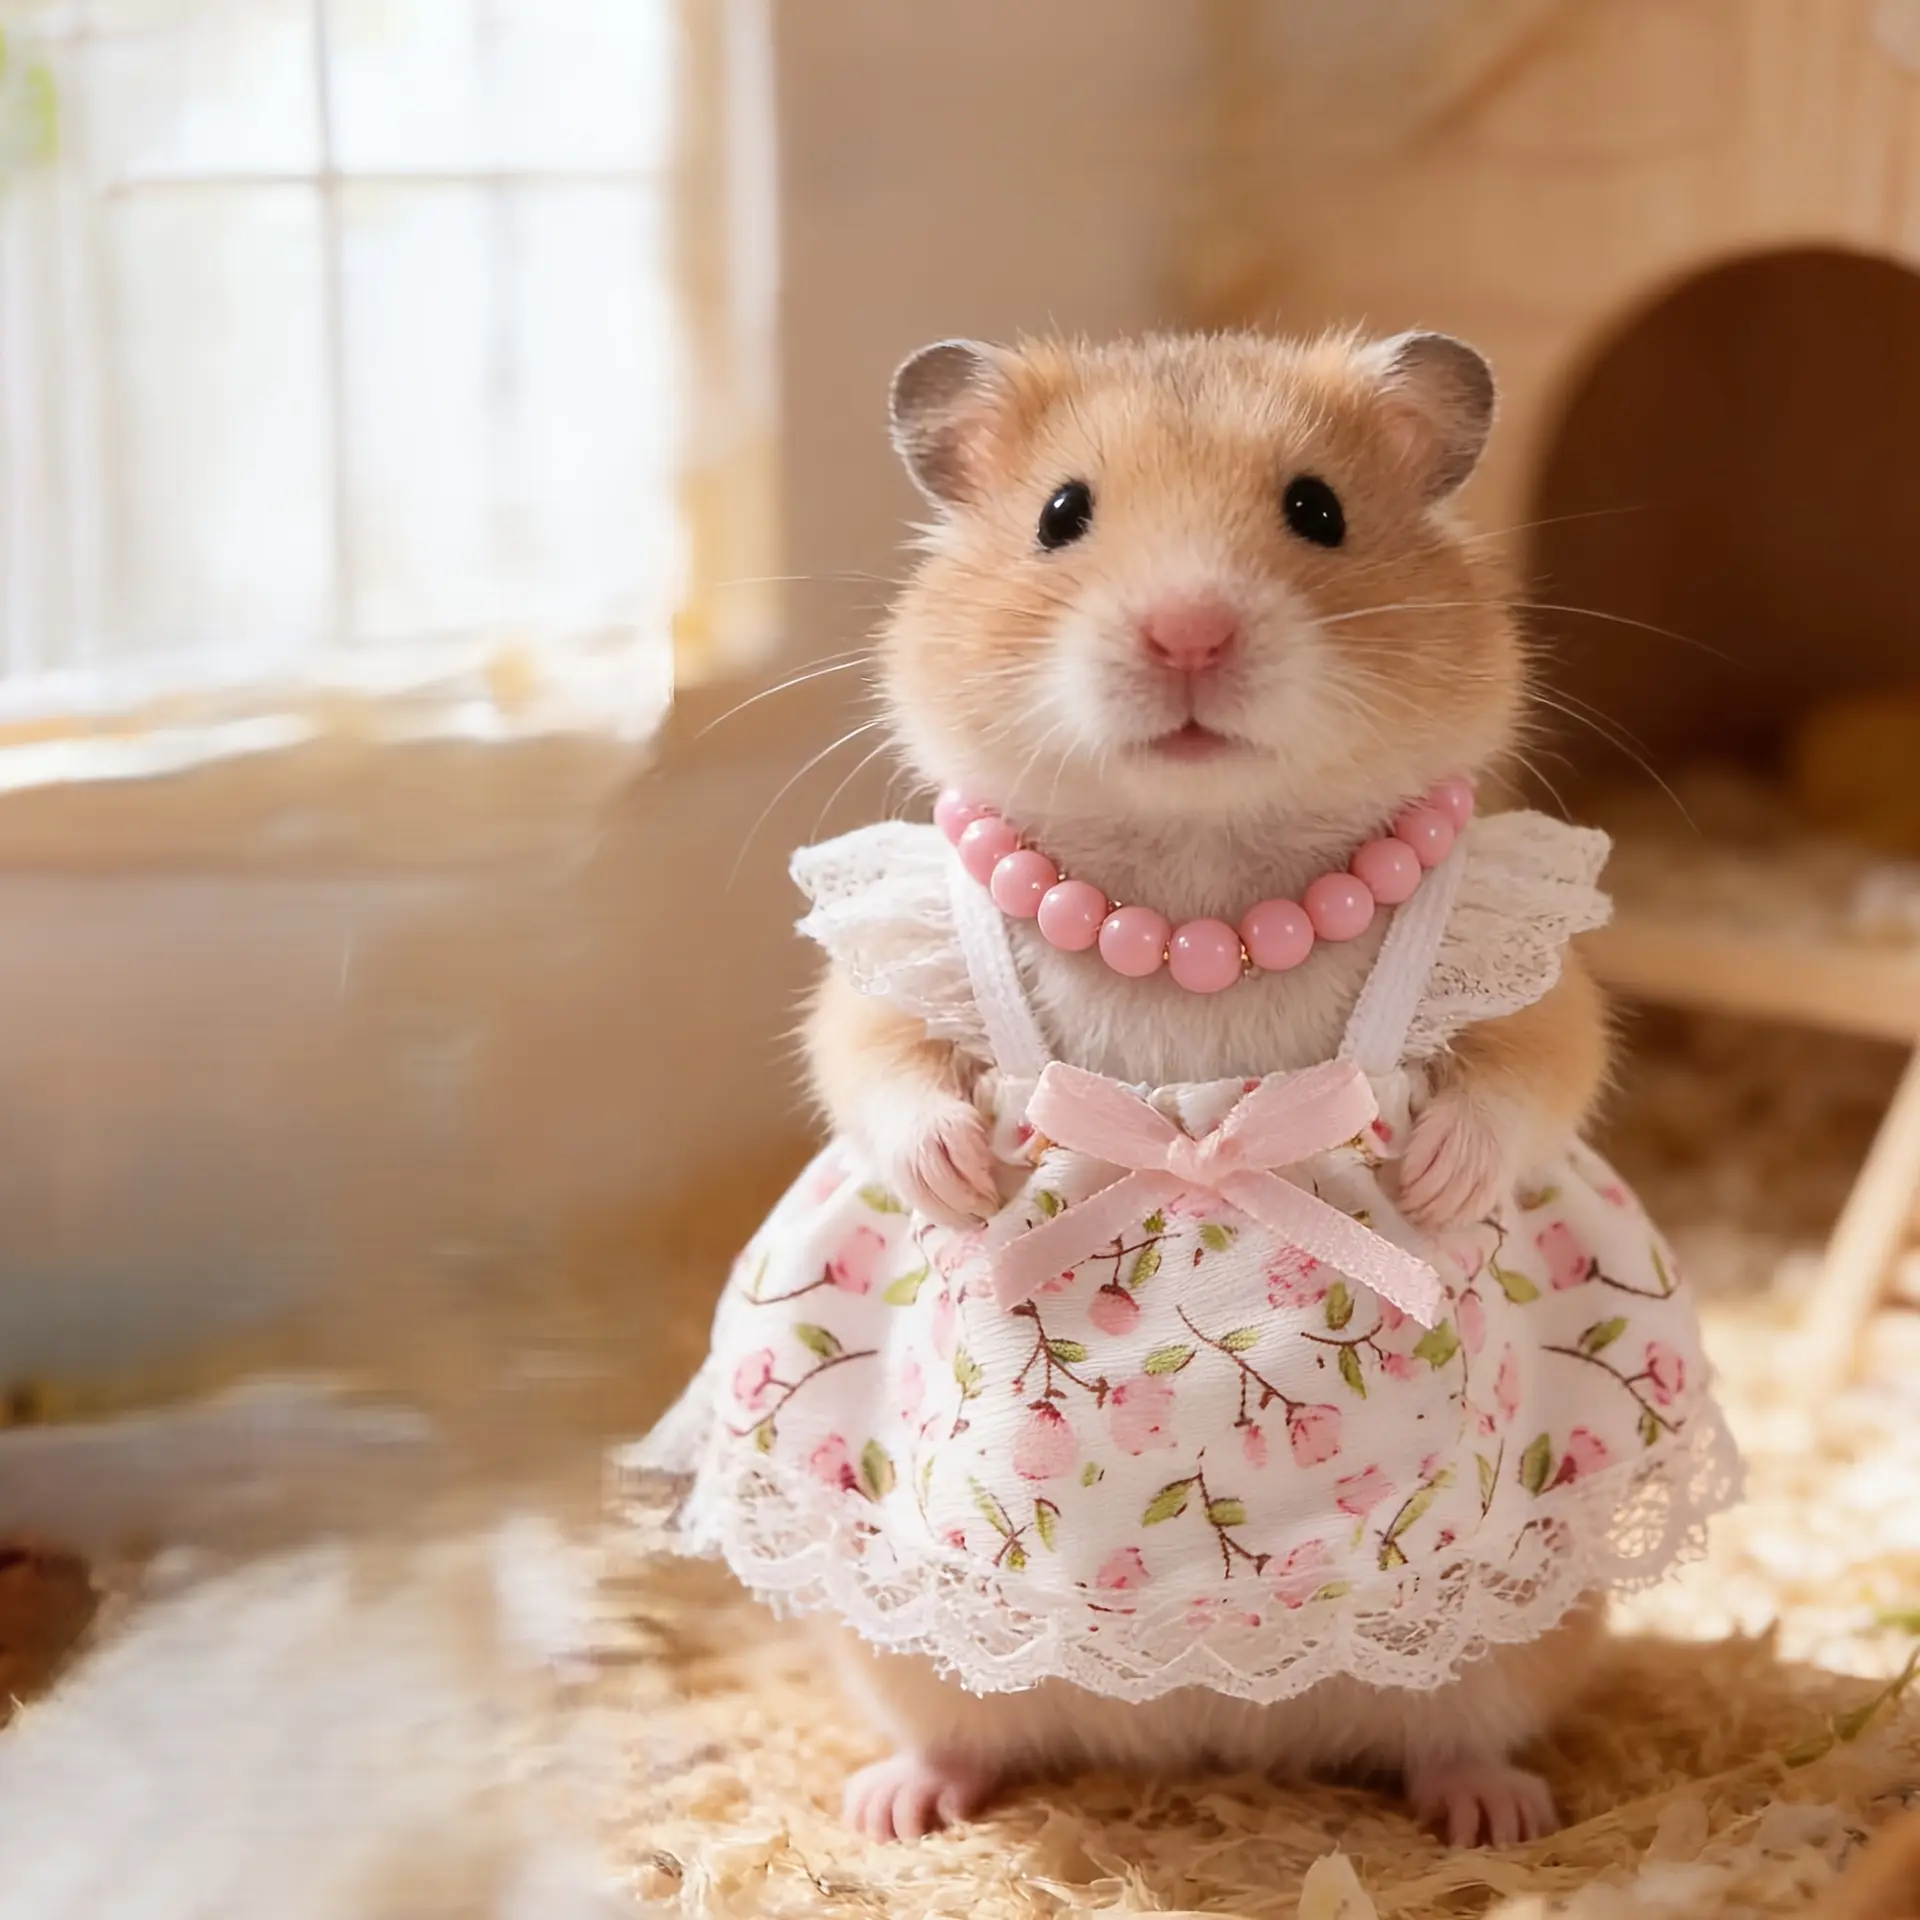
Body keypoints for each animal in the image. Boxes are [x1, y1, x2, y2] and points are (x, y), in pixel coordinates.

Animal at [803, 329, 1612, 1845]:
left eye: (1318, 511)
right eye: (1063, 515)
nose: (1188, 632)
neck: (1199, 883)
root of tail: (1203, 1730)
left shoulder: (1519, 951)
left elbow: (1539, 1065)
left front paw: (1434, 1177)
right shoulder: (899, 951)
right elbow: (873, 1059)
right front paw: (967, 1177)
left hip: (1519, 1635)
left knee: (1462, 1729)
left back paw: (1495, 1819)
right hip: (899, 1643)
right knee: (953, 1725)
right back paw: (894, 1809)